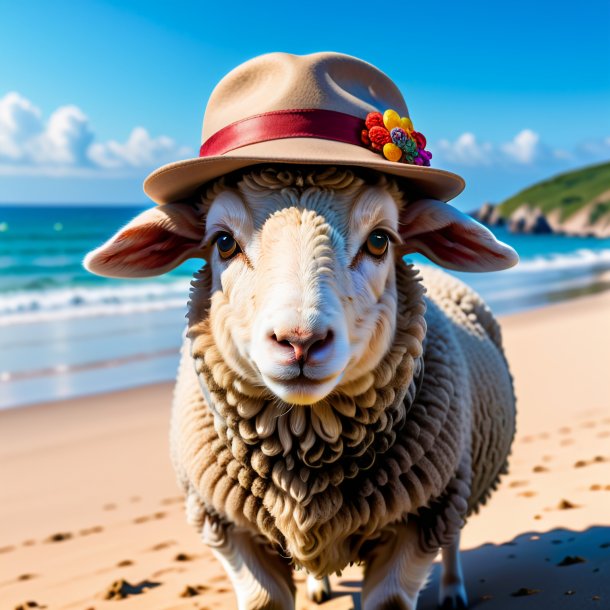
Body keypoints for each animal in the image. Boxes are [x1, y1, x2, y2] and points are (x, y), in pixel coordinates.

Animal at [83, 165, 516, 608]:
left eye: (379, 240)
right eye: (224, 242)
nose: (300, 341)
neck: (306, 447)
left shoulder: (421, 516)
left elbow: (391, 599)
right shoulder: (226, 525)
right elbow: (265, 600)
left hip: (454, 485)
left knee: (453, 537)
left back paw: (453, 590)